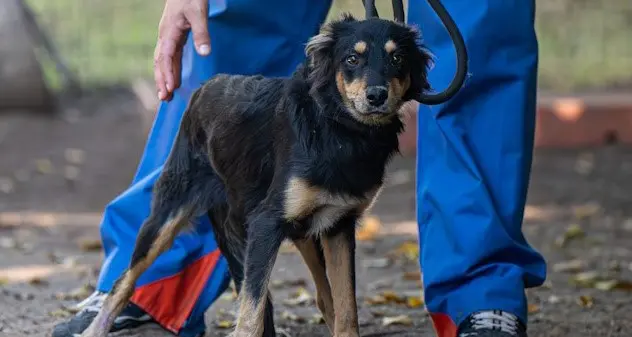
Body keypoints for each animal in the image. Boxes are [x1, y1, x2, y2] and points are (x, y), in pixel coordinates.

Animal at [80, 13, 430, 336]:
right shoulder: (265, 224)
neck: (339, 129)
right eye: (352, 59)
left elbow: (346, 307)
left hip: (302, 226)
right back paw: (95, 327)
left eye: (397, 58)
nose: (377, 95)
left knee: (323, 295)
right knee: (124, 280)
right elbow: (251, 312)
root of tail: (207, 86)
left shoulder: (339, 225)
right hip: (169, 212)